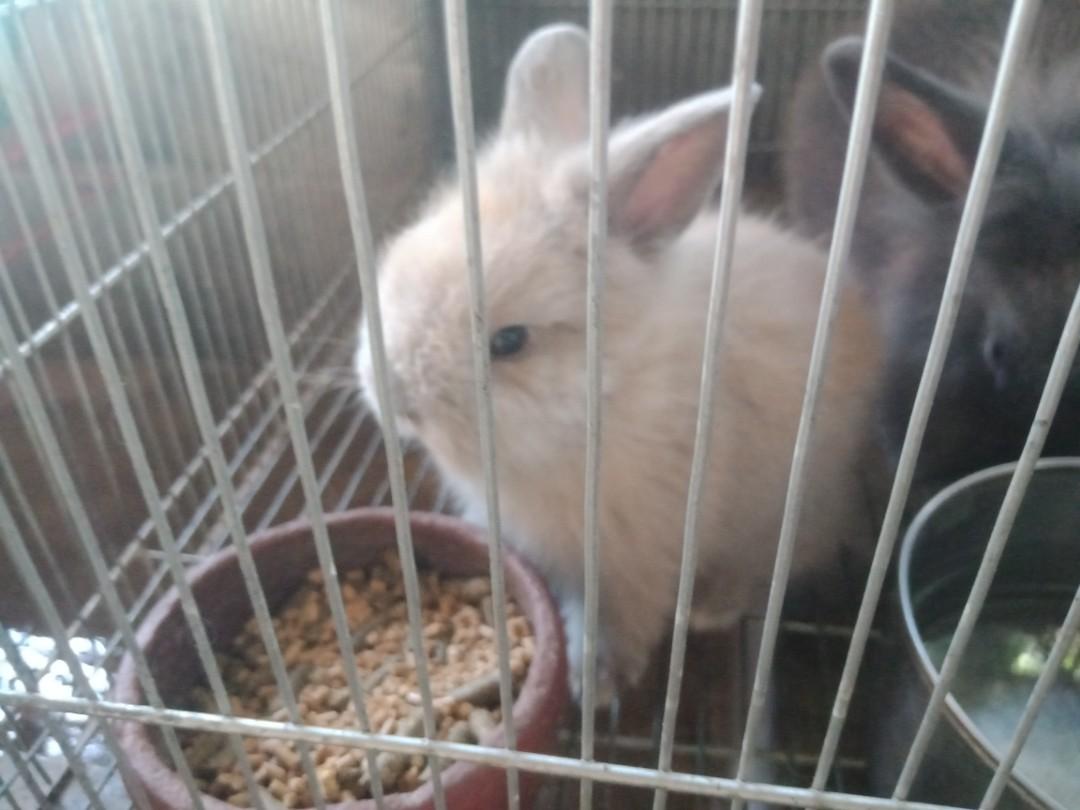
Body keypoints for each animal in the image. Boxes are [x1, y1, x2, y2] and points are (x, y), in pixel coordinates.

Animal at [355, 23, 883, 701]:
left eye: (510, 341)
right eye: (395, 265)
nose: (394, 397)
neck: (602, 400)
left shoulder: (640, 553)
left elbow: (627, 616)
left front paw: (596, 682)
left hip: (786, 510)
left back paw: (712, 608)